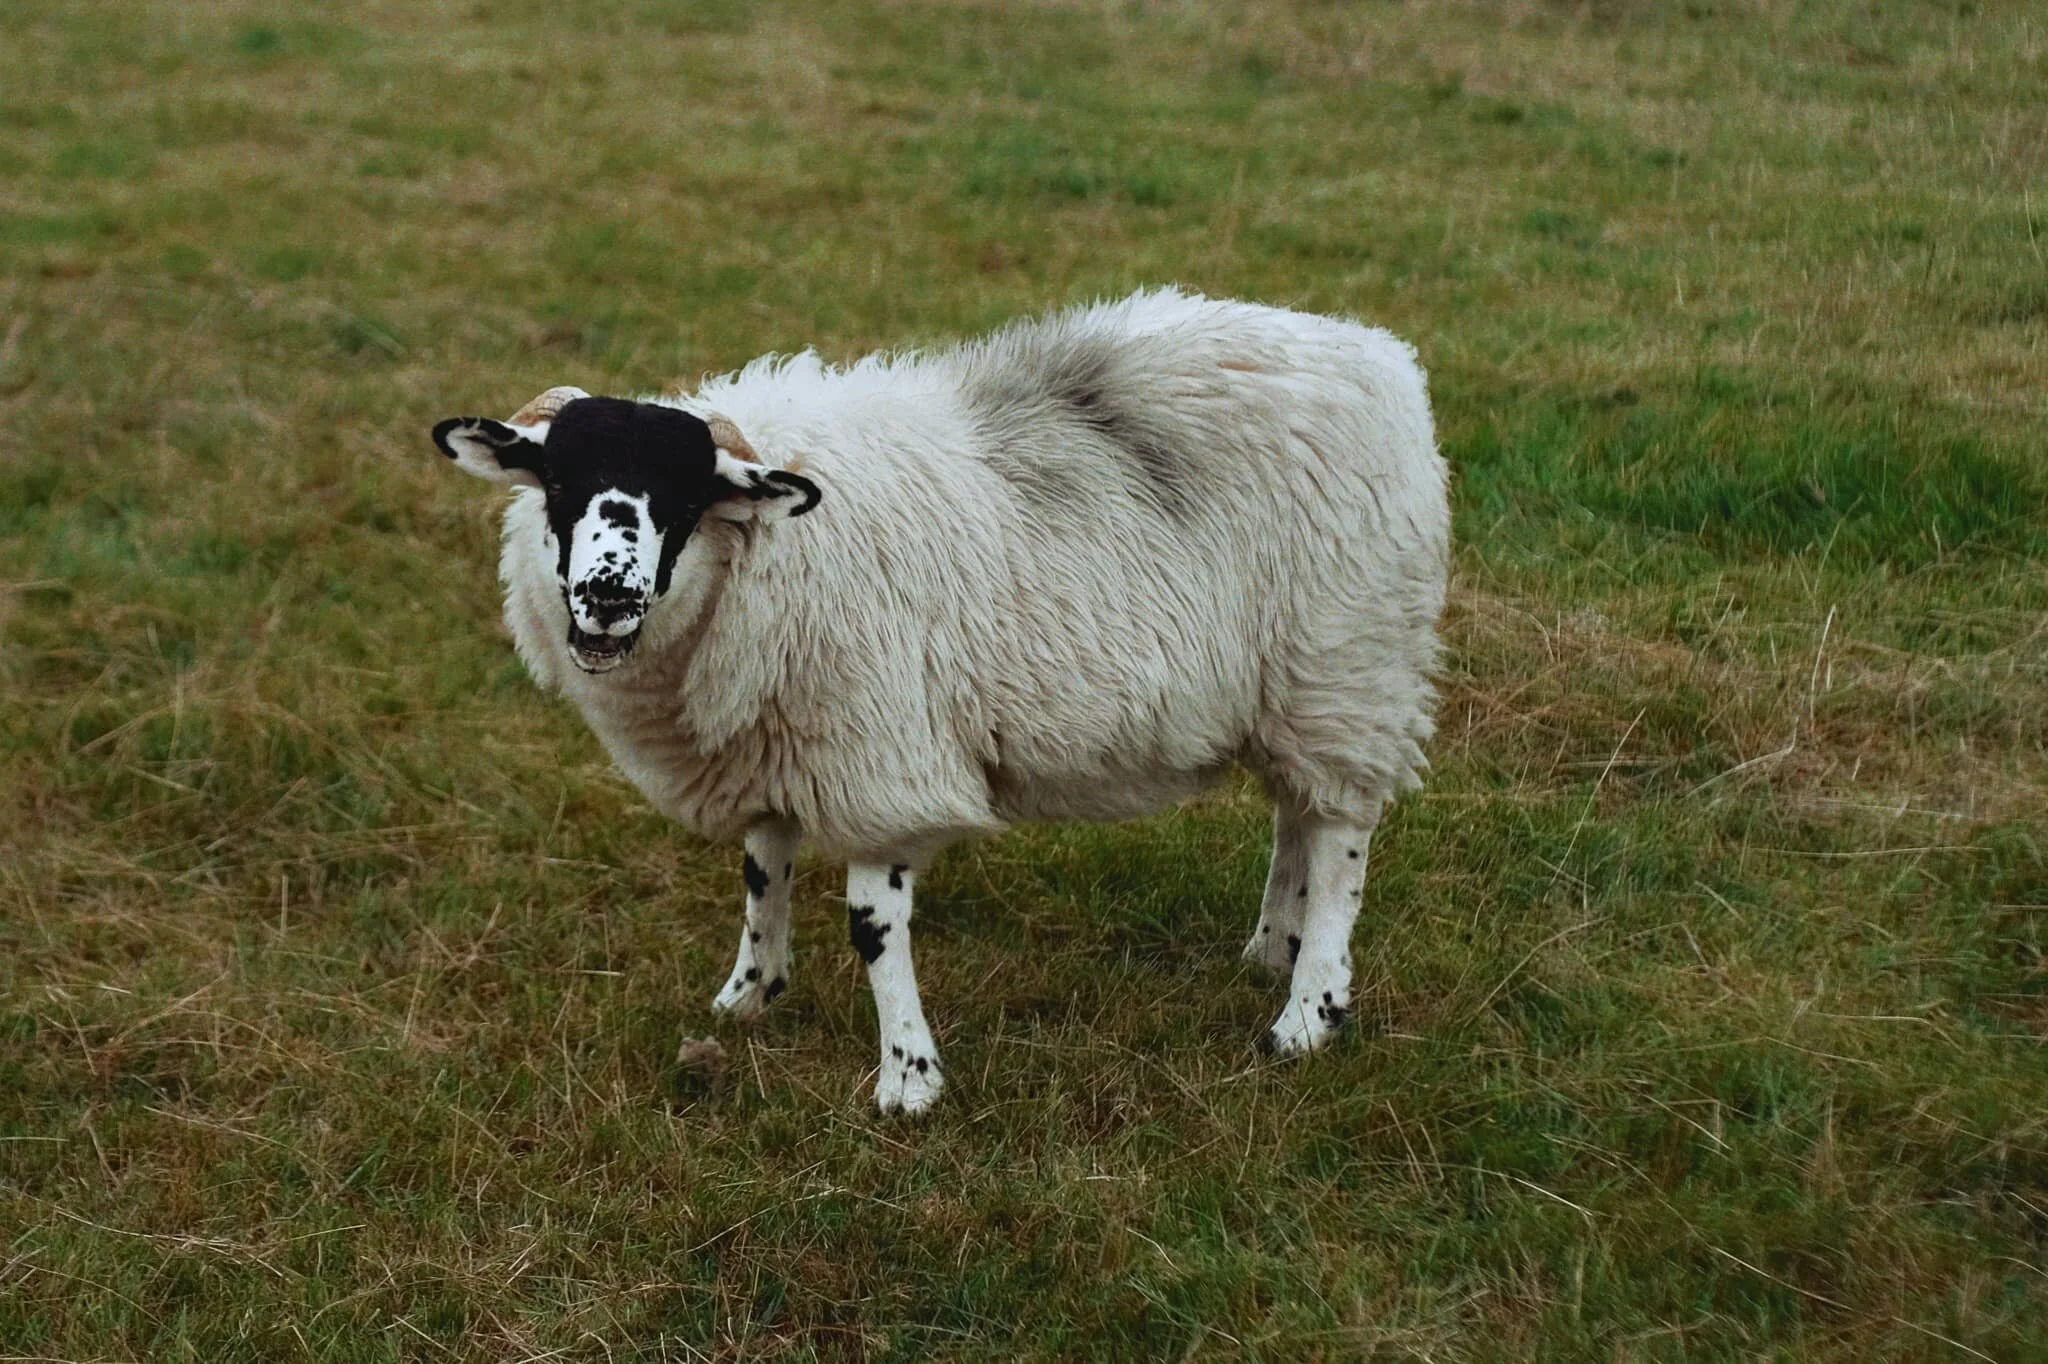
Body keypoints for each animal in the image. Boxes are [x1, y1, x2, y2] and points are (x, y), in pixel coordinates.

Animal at [431, 287, 1449, 1115]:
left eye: (683, 501)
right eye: (558, 482)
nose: (607, 597)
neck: (761, 559)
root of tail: (1377, 357)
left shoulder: (876, 750)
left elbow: (873, 928)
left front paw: (908, 1080)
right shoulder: (776, 734)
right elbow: (763, 872)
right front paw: (747, 998)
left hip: (1347, 663)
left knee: (1341, 835)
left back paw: (1309, 1008)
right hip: (1293, 688)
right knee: (1295, 814)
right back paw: (1271, 947)